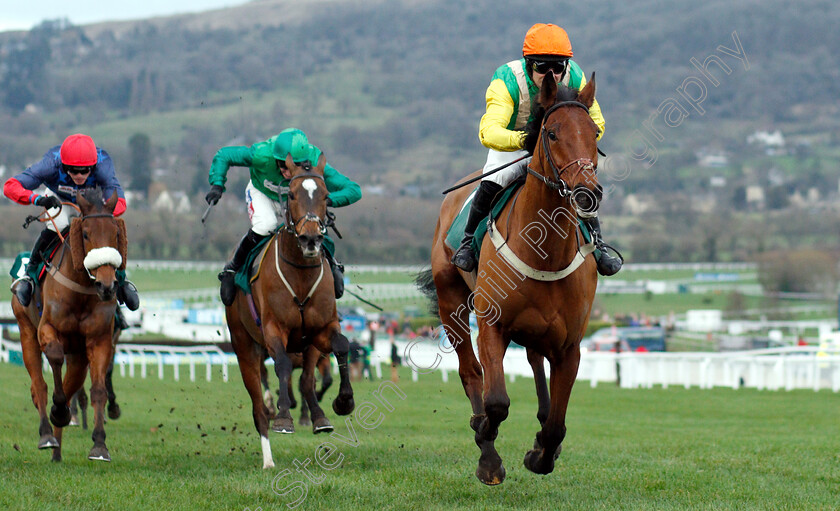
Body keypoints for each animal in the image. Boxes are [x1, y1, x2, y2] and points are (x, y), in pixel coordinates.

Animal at [12, 189, 129, 464]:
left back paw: (58, 446)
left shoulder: (101, 339)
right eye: (85, 234)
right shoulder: (47, 329)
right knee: (39, 385)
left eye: (116, 234)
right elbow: (54, 360)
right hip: (26, 331)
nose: (107, 286)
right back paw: (47, 434)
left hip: (78, 356)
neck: (81, 291)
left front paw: (99, 445)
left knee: (72, 385)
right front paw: (58, 411)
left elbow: (99, 388)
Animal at [225, 154, 352, 470]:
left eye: (326, 195)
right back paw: (268, 458)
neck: (300, 276)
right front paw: (284, 417)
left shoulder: (320, 330)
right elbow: (281, 365)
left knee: (306, 381)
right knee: (259, 406)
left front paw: (342, 402)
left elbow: (340, 348)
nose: (310, 239)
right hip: (244, 347)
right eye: (292, 194)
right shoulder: (274, 330)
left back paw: (316, 415)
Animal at [420, 72, 604, 484]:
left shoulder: (570, 344)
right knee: (471, 373)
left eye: (594, 133)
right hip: (451, 303)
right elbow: (496, 402)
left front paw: (540, 455)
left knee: (534, 362)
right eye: (551, 133)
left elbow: (556, 425)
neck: (544, 251)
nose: (587, 193)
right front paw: (487, 447)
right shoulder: (492, 326)